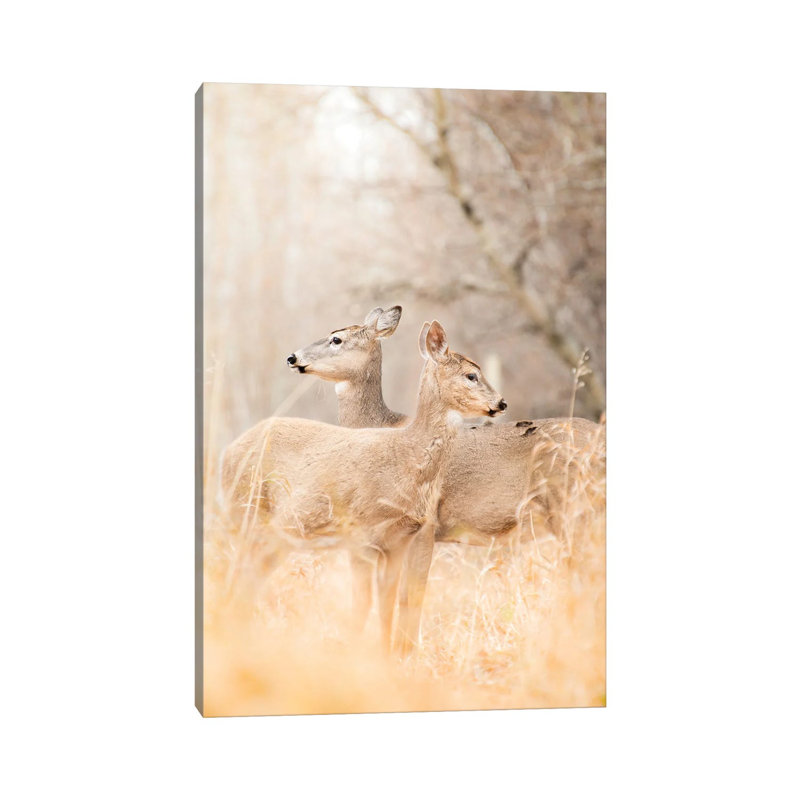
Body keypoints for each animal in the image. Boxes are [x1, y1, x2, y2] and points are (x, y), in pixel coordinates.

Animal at [221, 321, 506, 653]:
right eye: (471, 375)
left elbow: (389, 602)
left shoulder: (399, 541)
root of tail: (226, 453)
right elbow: (364, 603)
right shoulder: (359, 533)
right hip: (246, 514)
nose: (501, 402)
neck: (405, 455)